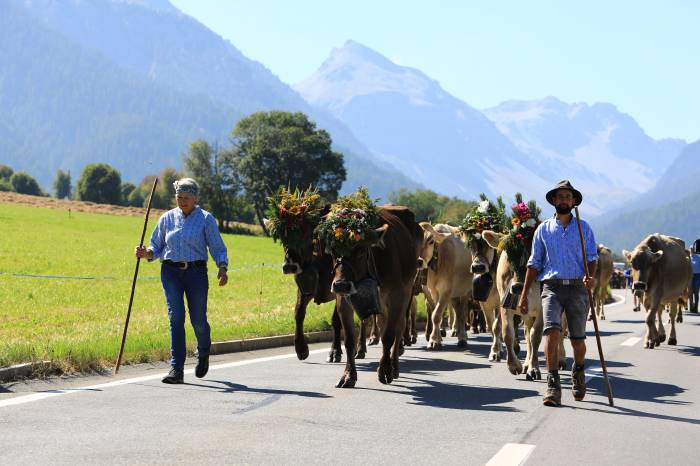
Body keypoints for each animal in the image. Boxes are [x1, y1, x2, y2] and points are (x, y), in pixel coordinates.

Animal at [332, 207, 424, 386]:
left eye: (360, 251)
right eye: (332, 250)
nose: (340, 284)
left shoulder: (397, 295)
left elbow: (389, 335)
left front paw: (385, 370)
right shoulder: (343, 301)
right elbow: (349, 339)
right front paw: (348, 375)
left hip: (406, 293)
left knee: (399, 327)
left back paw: (394, 366)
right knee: (382, 323)